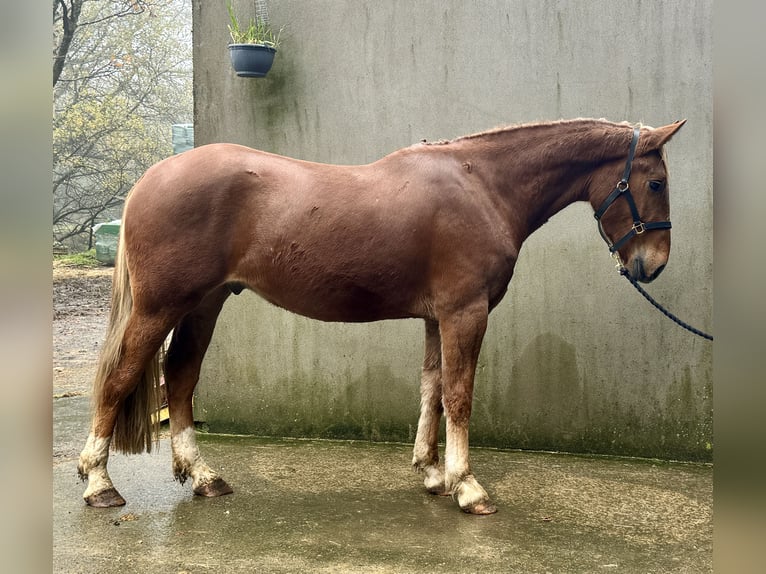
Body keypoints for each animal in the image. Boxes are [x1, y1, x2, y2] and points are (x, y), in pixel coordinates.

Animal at [77, 118, 685, 514]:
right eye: (656, 182)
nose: (653, 264)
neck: (482, 186)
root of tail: (150, 179)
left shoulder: (438, 318)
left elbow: (432, 388)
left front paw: (433, 474)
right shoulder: (465, 313)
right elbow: (459, 395)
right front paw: (468, 487)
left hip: (206, 302)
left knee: (180, 376)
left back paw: (204, 477)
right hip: (160, 307)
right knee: (118, 378)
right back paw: (98, 483)